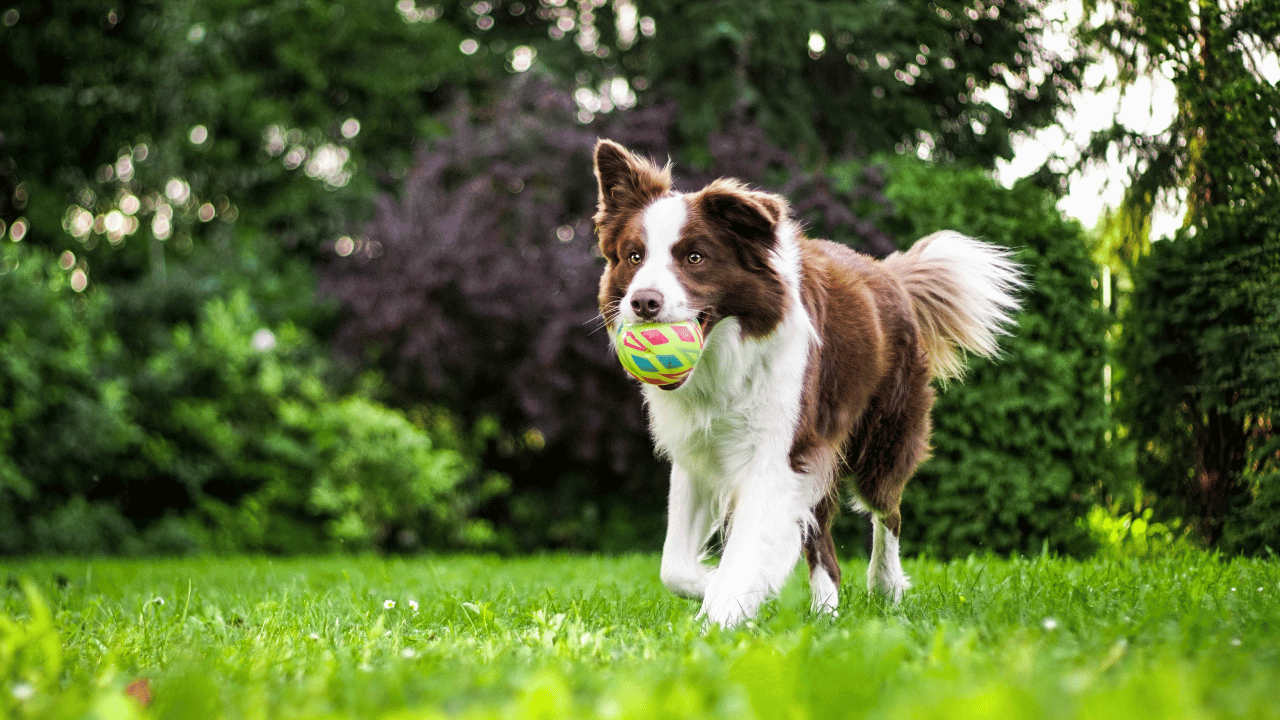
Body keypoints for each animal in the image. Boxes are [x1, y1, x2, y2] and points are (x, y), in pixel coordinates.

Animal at [588, 139, 1018, 622]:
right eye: (634, 257)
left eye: (695, 258)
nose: (643, 302)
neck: (725, 359)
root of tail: (888, 274)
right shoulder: (698, 450)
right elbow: (674, 567)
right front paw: (720, 588)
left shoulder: (779, 451)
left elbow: (746, 547)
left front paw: (721, 616)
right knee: (823, 538)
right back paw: (826, 611)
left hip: (882, 437)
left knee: (887, 511)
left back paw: (885, 587)